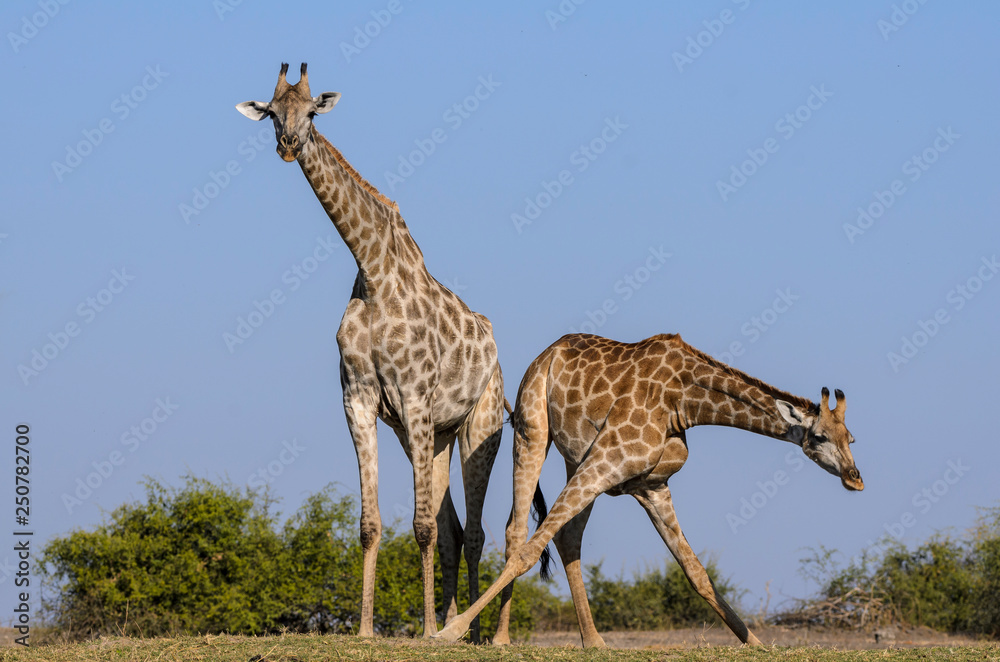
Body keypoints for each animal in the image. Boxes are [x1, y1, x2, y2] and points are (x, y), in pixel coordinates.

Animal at [238, 65, 508, 640]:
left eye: (311, 111)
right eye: (271, 113)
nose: (288, 145)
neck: (374, 268)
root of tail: (495, 350)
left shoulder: (414, 397)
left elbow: (422, 527)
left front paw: (425, 631)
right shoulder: (359, 400)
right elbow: (371, 524)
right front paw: (365, 629)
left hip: (479, 425)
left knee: (472, 531)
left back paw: (467, 630)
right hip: (430, 437)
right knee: (454, 530)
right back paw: (451, 620)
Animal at [434, 334, 864, 644]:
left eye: (852, 438)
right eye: (820, 437)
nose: (855, 478)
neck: (686, 403)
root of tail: (546, 354)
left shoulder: (652, 487)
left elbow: (697, 572)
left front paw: (756, 644)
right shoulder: (609, 460)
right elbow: (528, 551)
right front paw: (448, 631)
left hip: (576, 460)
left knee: (567, 537)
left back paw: (594, 641)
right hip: (533, 430)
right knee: (518, 532)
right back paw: (501, 639)